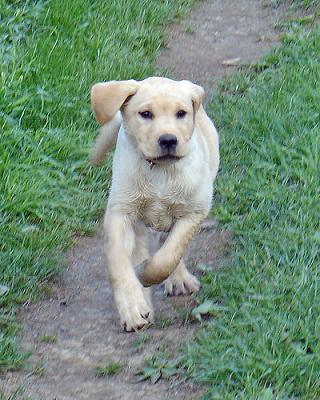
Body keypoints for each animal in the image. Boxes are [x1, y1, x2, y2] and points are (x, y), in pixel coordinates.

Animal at [91, 76, 219, 332]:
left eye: (181, 113)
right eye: (145, 114)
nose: (168, 140)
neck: (160, 170)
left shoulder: (194, 211)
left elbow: (168, 256)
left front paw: (147, 274)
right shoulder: (120, 213)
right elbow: (120, 263)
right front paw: (132, 307)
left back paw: (178, 280)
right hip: (137, 222)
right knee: (139, 247)